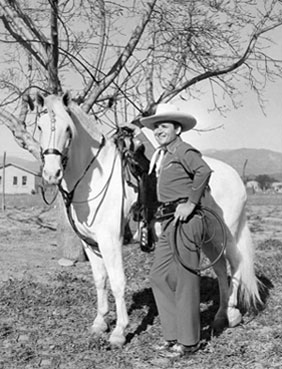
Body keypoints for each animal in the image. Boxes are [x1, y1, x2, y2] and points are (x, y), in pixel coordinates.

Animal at [34, 91, 262, 344]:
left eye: (68, 129)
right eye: (40, 126)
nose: (51, 174)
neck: (93, 180)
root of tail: (234, 176)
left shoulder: (110, 242)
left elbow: (118, 282)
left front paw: (119, 331)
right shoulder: (90, 243)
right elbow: (100, 280)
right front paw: (100, 322)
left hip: (227, 236)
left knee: (236, 264)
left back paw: (232, 314)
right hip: (209, 238)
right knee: (221, 269)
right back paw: (220, 316)